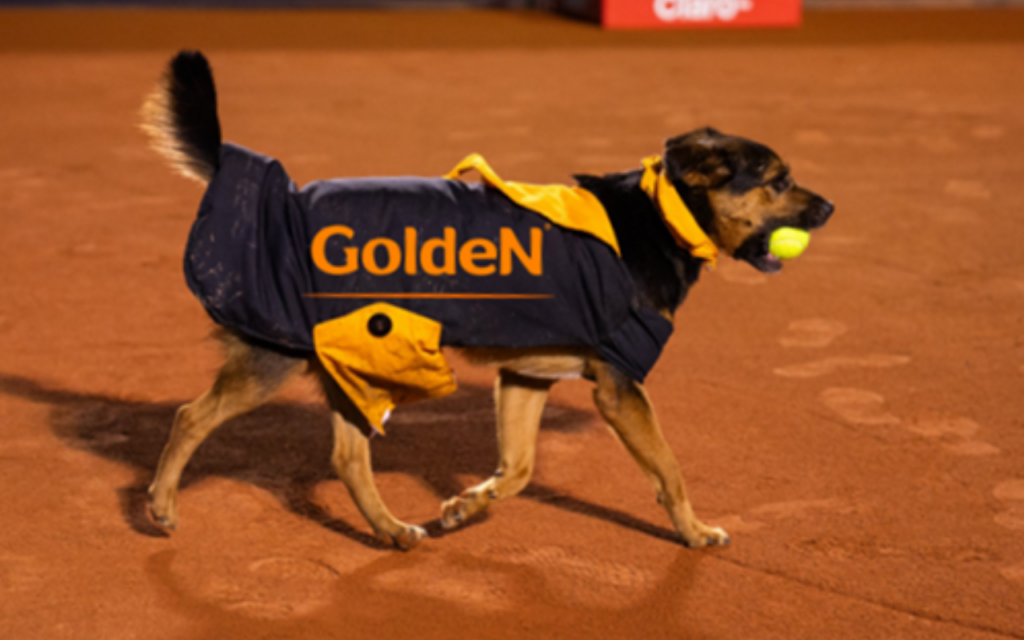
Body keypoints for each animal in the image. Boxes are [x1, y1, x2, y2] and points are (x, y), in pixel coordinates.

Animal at [142, 49, 831, 548]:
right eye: (779, 182)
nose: (828, 207)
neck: (664, 216)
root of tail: (273, 198)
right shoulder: (620, 388)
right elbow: (669, 469)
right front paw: (694, 532)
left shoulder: (527, 376)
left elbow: (519, 470)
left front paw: (467, 506)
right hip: (275, 358)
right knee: (191, 418)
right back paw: (161, 506)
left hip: (355, 367)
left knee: (347, 458)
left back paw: (393, 531)